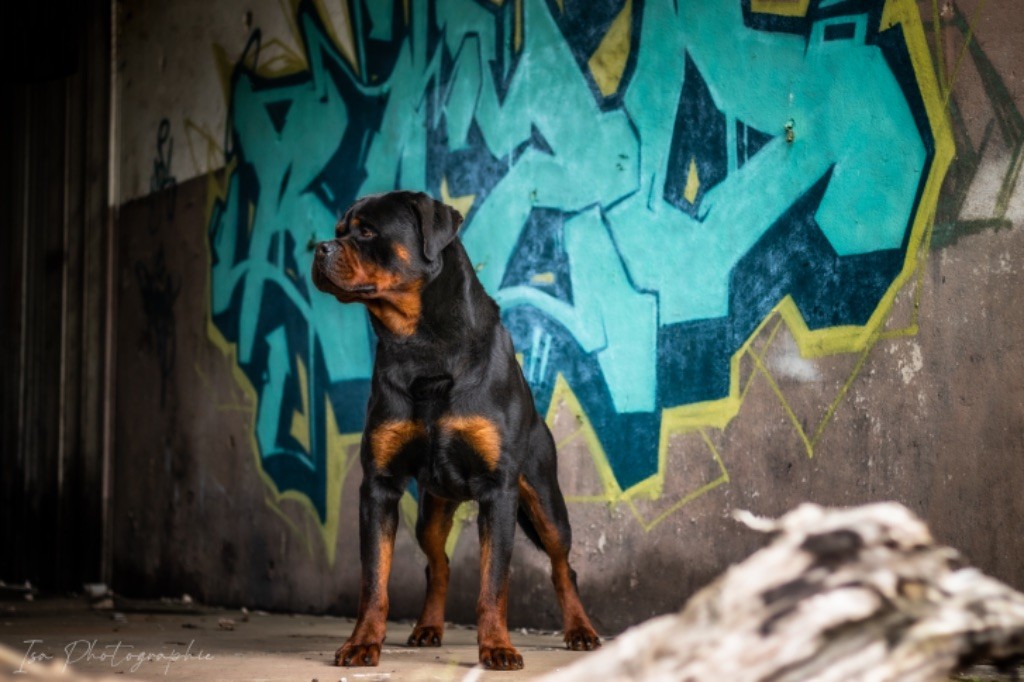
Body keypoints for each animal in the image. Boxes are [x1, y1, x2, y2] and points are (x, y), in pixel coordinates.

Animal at [311, 190, 601, 671]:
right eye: (338, 232)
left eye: (367, 231)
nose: (319, 249)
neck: (422, 344)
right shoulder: (379, 486)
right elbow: (374, 581)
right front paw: (363, 642)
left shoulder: (498, 490)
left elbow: (493, 584)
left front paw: (497, 647)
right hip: (432, 509)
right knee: (439, 562)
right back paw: (428, 627)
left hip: (545, 500)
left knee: (564, 565)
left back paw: (581, 630)